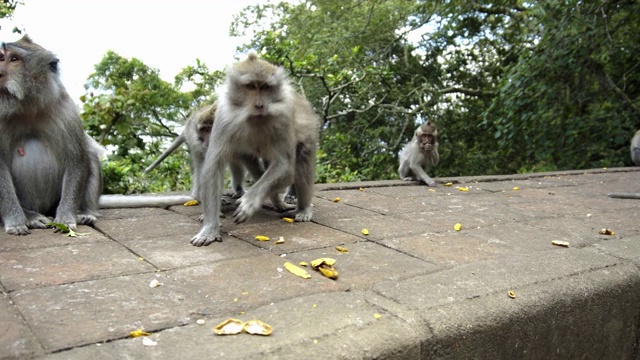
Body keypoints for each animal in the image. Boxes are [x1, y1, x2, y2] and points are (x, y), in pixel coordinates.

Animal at [0, 35, 102, 235]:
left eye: (14, 59)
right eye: (1, 58)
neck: (28, 107)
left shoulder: (67, 111)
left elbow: (76, 159)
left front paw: (66, 218)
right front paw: (16, 222)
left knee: (91, 154)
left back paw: (85, 212)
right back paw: (31, 216)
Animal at [190, 52, 320, 246]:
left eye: (265, 87)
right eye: (251, 86)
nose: (259, 105)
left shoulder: (284, 115)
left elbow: (286, 166)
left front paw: (250, 202)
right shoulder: (225, 117)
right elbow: (214, 167)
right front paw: (210, 227)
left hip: (309, 130)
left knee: (302, 157)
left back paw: (302, 209)